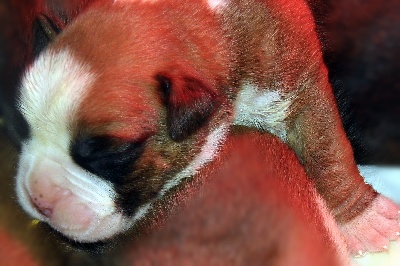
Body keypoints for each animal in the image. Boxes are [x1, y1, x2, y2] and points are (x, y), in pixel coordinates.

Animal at [14, 0, 400, 255]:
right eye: (26, 126)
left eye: (115, 153)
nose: (38, 199)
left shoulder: (298, 85)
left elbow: (326, 149)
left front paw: (363, 220)